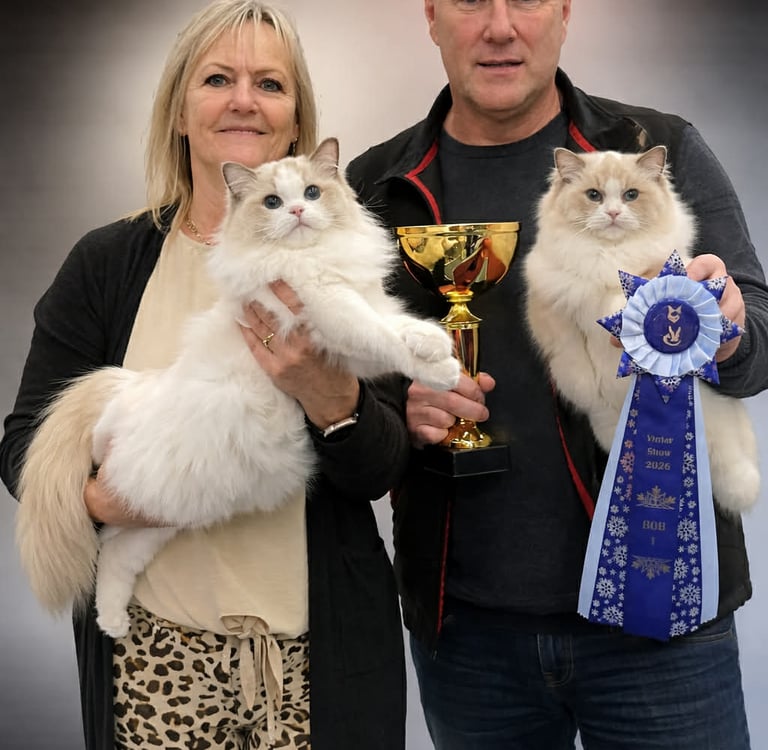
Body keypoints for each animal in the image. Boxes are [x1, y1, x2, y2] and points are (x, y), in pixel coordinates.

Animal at [16, 137, 461, 638]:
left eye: (311, 193)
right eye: (272, 202)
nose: (297, 212)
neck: (310, 258)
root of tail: (124, 387)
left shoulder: (350, 341)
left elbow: (397, 326)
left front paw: (438, 349)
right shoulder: (330, 308)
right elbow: (380, 332)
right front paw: (443, 367)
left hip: (160, 518)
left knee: (114, 557)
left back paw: (112, 623)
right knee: (111, 548)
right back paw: (113, 623)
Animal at [524, 145, 759, 515]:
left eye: (631, 195)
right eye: (594, 196)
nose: (614, 213)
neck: (606, 255)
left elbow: (624, 296)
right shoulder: (554, 313)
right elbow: (575, 364)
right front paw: (588, 384)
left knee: (735, 467)